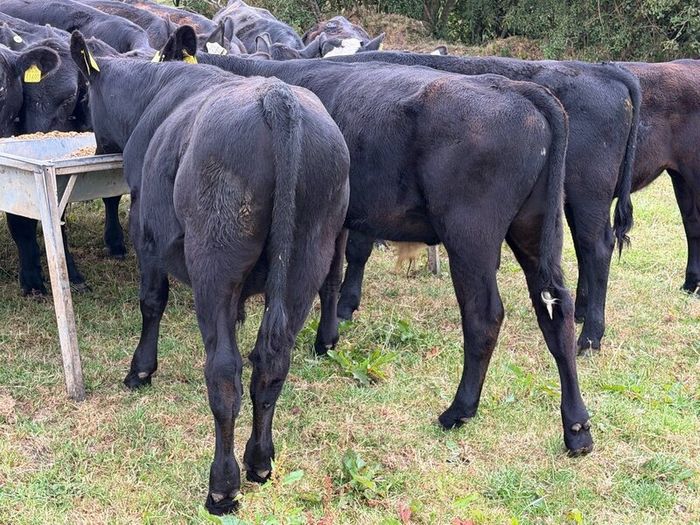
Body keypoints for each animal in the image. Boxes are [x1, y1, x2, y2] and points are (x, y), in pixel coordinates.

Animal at [69, 28, 350, 515]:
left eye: (84, 95)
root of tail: (278, 98)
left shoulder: (146, 230)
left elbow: (151, 302)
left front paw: (140, 370)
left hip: (213, 262)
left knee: (223, 372)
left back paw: (222, 485)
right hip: (306, 259)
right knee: (271, 362)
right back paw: (260, 462)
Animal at [163, 27, 594, 459]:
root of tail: (518, 89)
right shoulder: (337, 219)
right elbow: (332, 276)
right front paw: (328, 337)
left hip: (471, 235)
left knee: (484, 315)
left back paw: (459, 410)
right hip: (534, 227)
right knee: (555, 306)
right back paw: (576, 427)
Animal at [326, 51, 642, 355]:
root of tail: (602, 69)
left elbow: (356, 250)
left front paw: (344, 306)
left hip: (586, 193)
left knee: (596, 247)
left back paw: (590, 335)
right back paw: (580, 312)